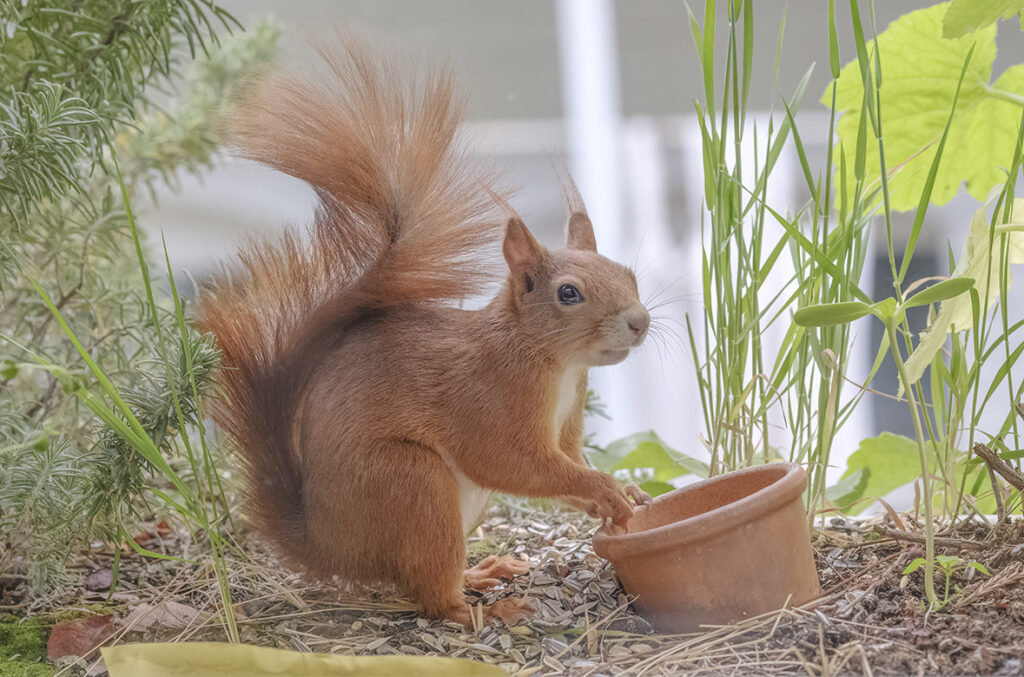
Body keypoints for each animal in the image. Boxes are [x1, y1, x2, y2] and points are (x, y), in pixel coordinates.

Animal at [196, 38, 652, 626]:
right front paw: (603, 489)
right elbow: (513, 463)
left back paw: (482, 573)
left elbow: (567, 461)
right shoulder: (488, 402)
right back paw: (483, 611)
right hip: (410, 483)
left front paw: (623, 494)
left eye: (628, 274)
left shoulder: (567, 422)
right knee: (430, 593)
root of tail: (326, 546)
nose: (640, 321)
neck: (558, 366)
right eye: (568, 293)